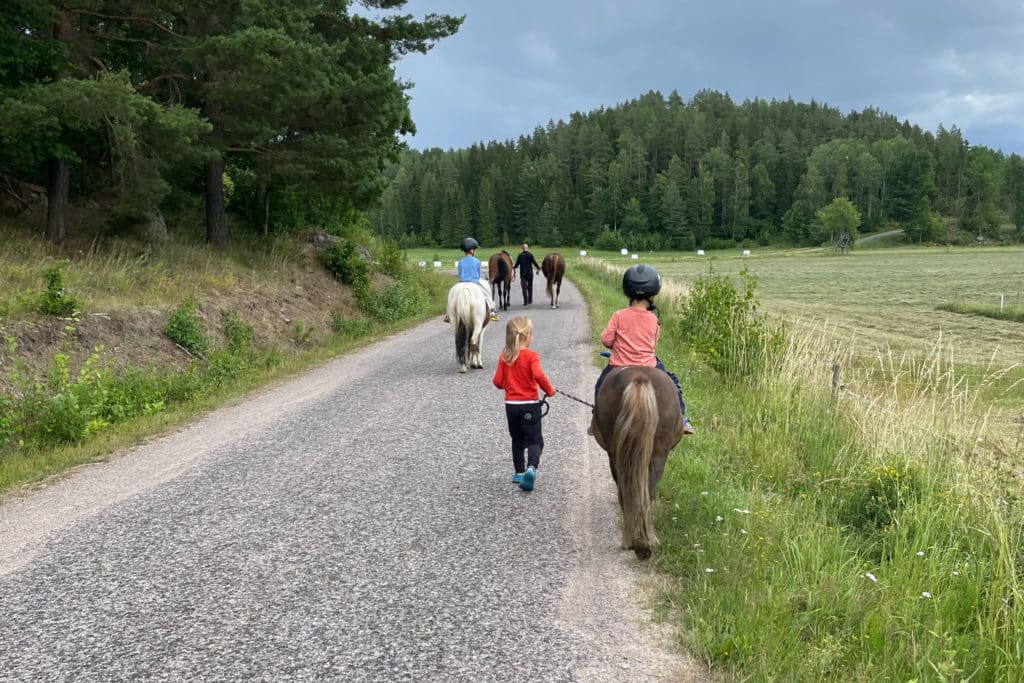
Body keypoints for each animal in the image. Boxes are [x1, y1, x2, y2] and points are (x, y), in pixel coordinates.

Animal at [589, 366, 684, 557]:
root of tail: (639, 378)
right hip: (656, 455)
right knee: (644, 492)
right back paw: (643, 540)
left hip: (618, 455)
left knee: (629, 490)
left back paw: (635, 539)